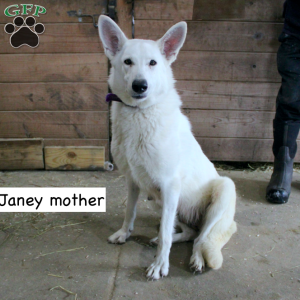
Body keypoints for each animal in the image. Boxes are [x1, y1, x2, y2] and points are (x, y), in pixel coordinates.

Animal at [98, 15, 237, 280]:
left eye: (153, 63)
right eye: (127, 62)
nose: (140, 85)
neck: (139, 113)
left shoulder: (170, 184)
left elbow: (164, 235)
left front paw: (159, 265)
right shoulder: (133, 181)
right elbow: (129, 212)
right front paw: (124, 233)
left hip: (222, 189)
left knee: (201, 237)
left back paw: (196, 259)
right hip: (161, 200)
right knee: (190, 232)